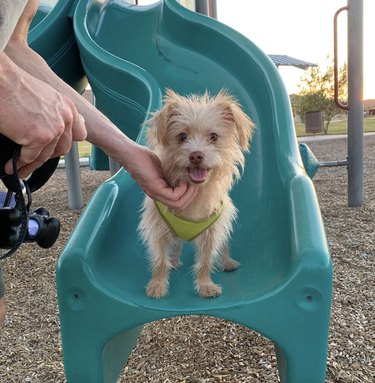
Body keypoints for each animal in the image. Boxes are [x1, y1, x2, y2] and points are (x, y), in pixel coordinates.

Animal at [139, 90, 256, 300]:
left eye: (214, 136)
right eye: (182, 136)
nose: (196, 155)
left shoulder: (212, 233)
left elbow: (206, 261)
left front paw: (205, 286)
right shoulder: (158, 229)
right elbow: (160, 259)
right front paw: (158, 285)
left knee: (223, 246)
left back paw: (228, 261)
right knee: (177, 246)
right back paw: (174, 261)